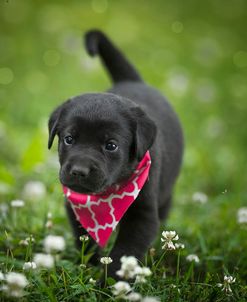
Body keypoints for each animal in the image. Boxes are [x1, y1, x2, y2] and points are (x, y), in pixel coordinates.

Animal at [47, 29, 183, 278]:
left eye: (111, 145)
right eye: (69, 139)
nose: (79, 171)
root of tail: (132, 80)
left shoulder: (143, 216)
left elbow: (124, 253)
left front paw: (109, 282)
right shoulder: (75, 209)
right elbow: (86, 240)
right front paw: (89, 267)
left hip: (166, 193)